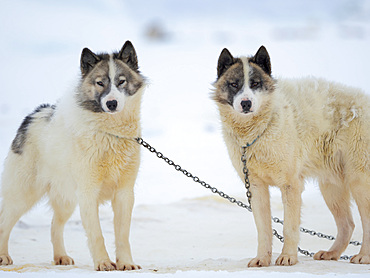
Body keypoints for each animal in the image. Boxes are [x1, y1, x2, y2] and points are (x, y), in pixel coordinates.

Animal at [0, 41, 146, 272]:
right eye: (100, 83)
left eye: (121, 81)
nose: (112, 103)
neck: (110, 133)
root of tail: (33, 114)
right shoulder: (88, 193)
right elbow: (97, 235)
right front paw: (104, 263)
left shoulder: (124, 194)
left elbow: (122, 235)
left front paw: (126, 263)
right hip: (22, 195)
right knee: (4, 222)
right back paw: (3, 256)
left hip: (66, 198)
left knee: (54, 225)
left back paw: (60, 257)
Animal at [212, 46, 368, 266]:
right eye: (234, 84)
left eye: (255, 83)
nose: (246, 103)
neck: (259, 129)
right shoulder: (256, 188)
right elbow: (264, 229)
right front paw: (262, 259)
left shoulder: (291, 185)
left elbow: (289, 228)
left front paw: (288, 257)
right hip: (331, 187)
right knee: (348, 224)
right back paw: (331, 253)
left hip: (359, 181)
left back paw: (364, 256)